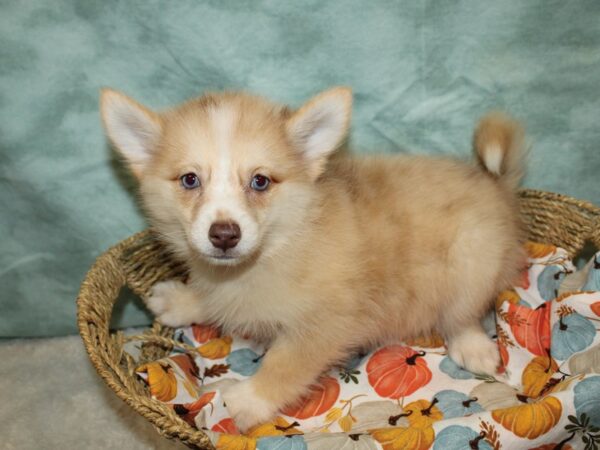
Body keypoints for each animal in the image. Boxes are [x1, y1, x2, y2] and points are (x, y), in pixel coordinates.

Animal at [101, 86, 524, 430]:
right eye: (190, 180)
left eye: (260, 181)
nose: (224, 235)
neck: (277, 247)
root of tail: (496, 185)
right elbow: (214, 299)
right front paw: (180, 299)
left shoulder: (326, 324)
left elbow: (286, 363)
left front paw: (248, 401)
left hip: (472, 258)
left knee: (462, 315)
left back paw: (474, 348)